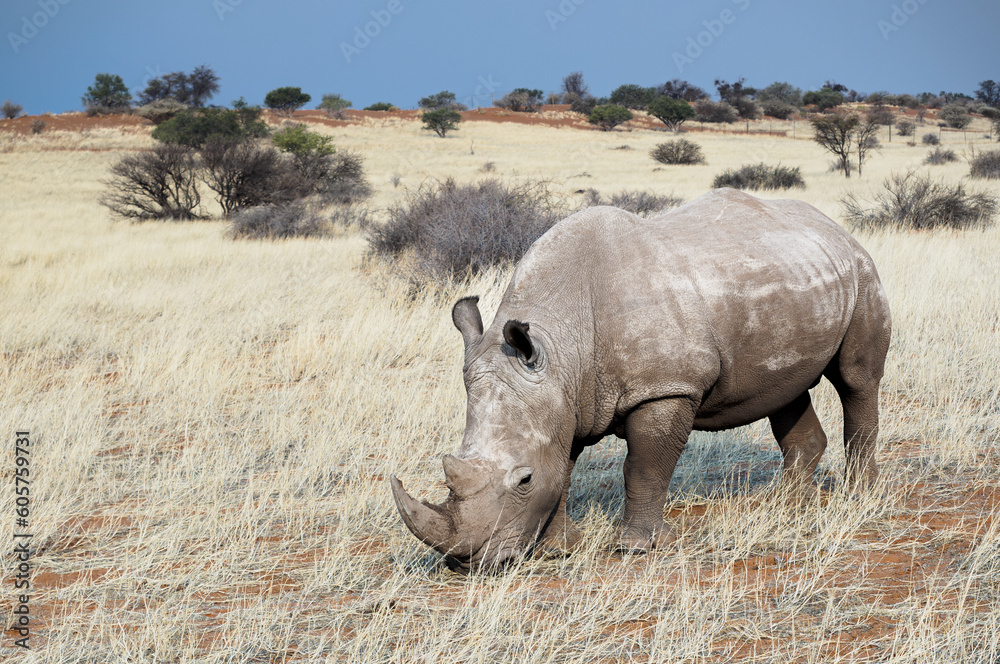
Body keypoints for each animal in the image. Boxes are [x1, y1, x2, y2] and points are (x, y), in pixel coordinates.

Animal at [390, 188, 892, 574]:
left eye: (523, 480)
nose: (466, 564)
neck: (562, 347)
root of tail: (833, 226)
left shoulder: (665, 387)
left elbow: (644, 465)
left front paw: (634, 547)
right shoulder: (566, 399)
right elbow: (564, 470)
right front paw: (557, 550)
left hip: (863, 271)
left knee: (856, 379)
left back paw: (858, 494)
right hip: (794, 278)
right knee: (783, 388)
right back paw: (785, 504)